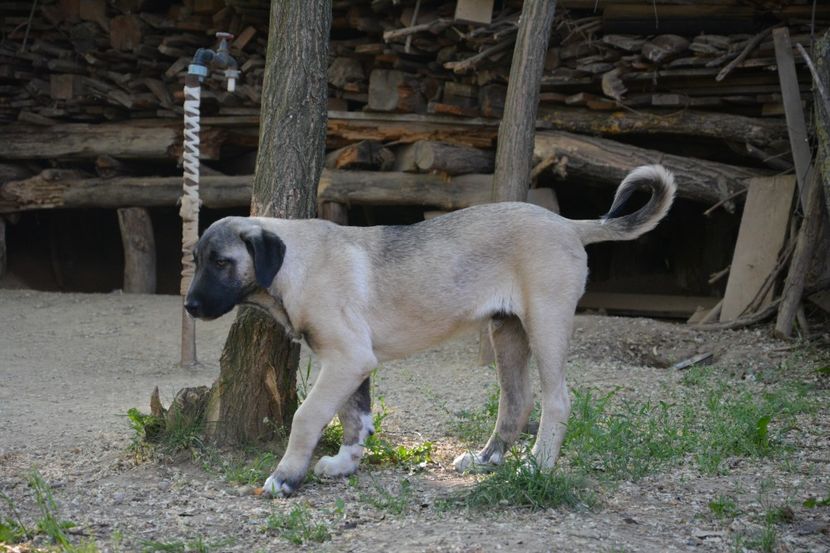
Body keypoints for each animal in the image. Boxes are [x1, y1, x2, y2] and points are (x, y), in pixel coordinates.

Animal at [187, 164, 676, 496]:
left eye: (221, 262)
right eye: (196, 259)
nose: (190, 306)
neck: (295, 263)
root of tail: (569, 225)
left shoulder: (346, 358)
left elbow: (306, 416)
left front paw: (286, 477)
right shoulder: (353, 362)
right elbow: (355, 417)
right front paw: (346, 463)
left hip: (546, 323)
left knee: (556, 400)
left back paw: (537, 466)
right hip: (508, 331)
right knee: (517, 401)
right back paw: (485, 460)